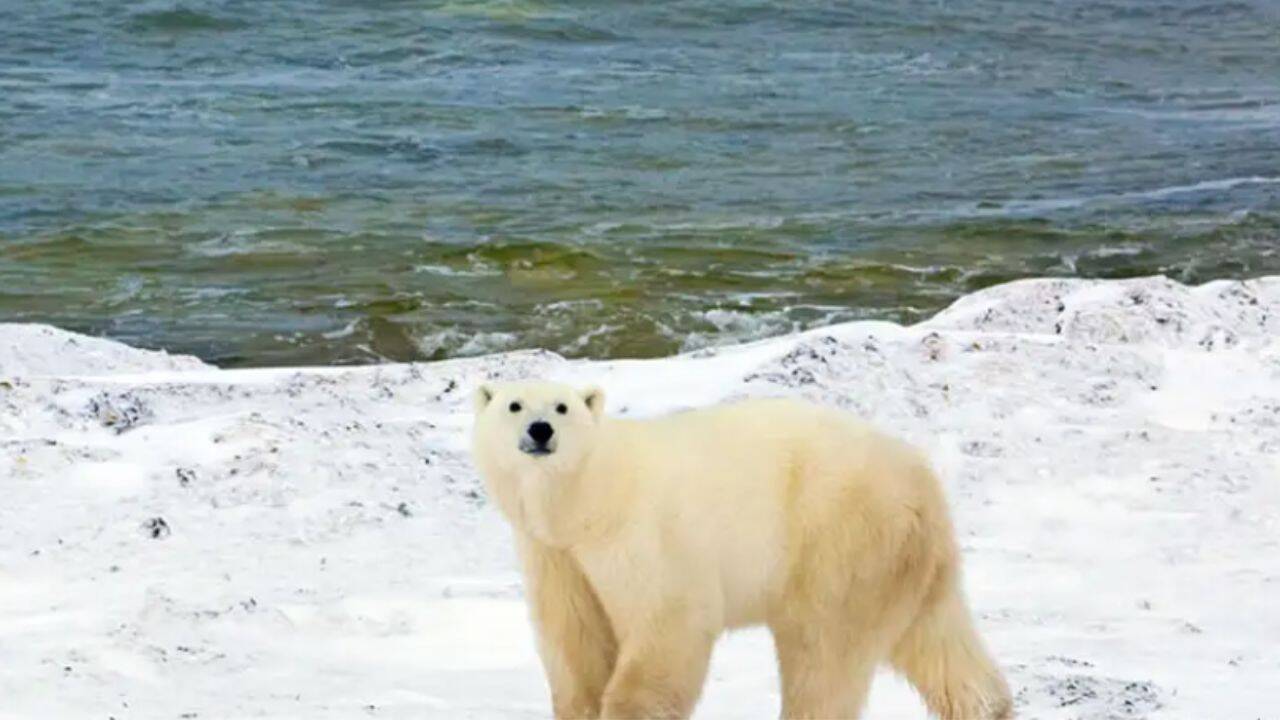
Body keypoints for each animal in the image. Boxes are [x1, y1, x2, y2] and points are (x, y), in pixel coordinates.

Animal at [471, 380, 1011, 720]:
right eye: (514, 405)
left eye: (562, 407)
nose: (541, 430)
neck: (590, 498)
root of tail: (922, 483)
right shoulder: (555, 554)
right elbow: (574, 635)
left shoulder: (644, 536)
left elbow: (669, 624)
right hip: (905, 560)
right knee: (938, 641)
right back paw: (988, 707)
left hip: (839, 539)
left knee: (823, 651)